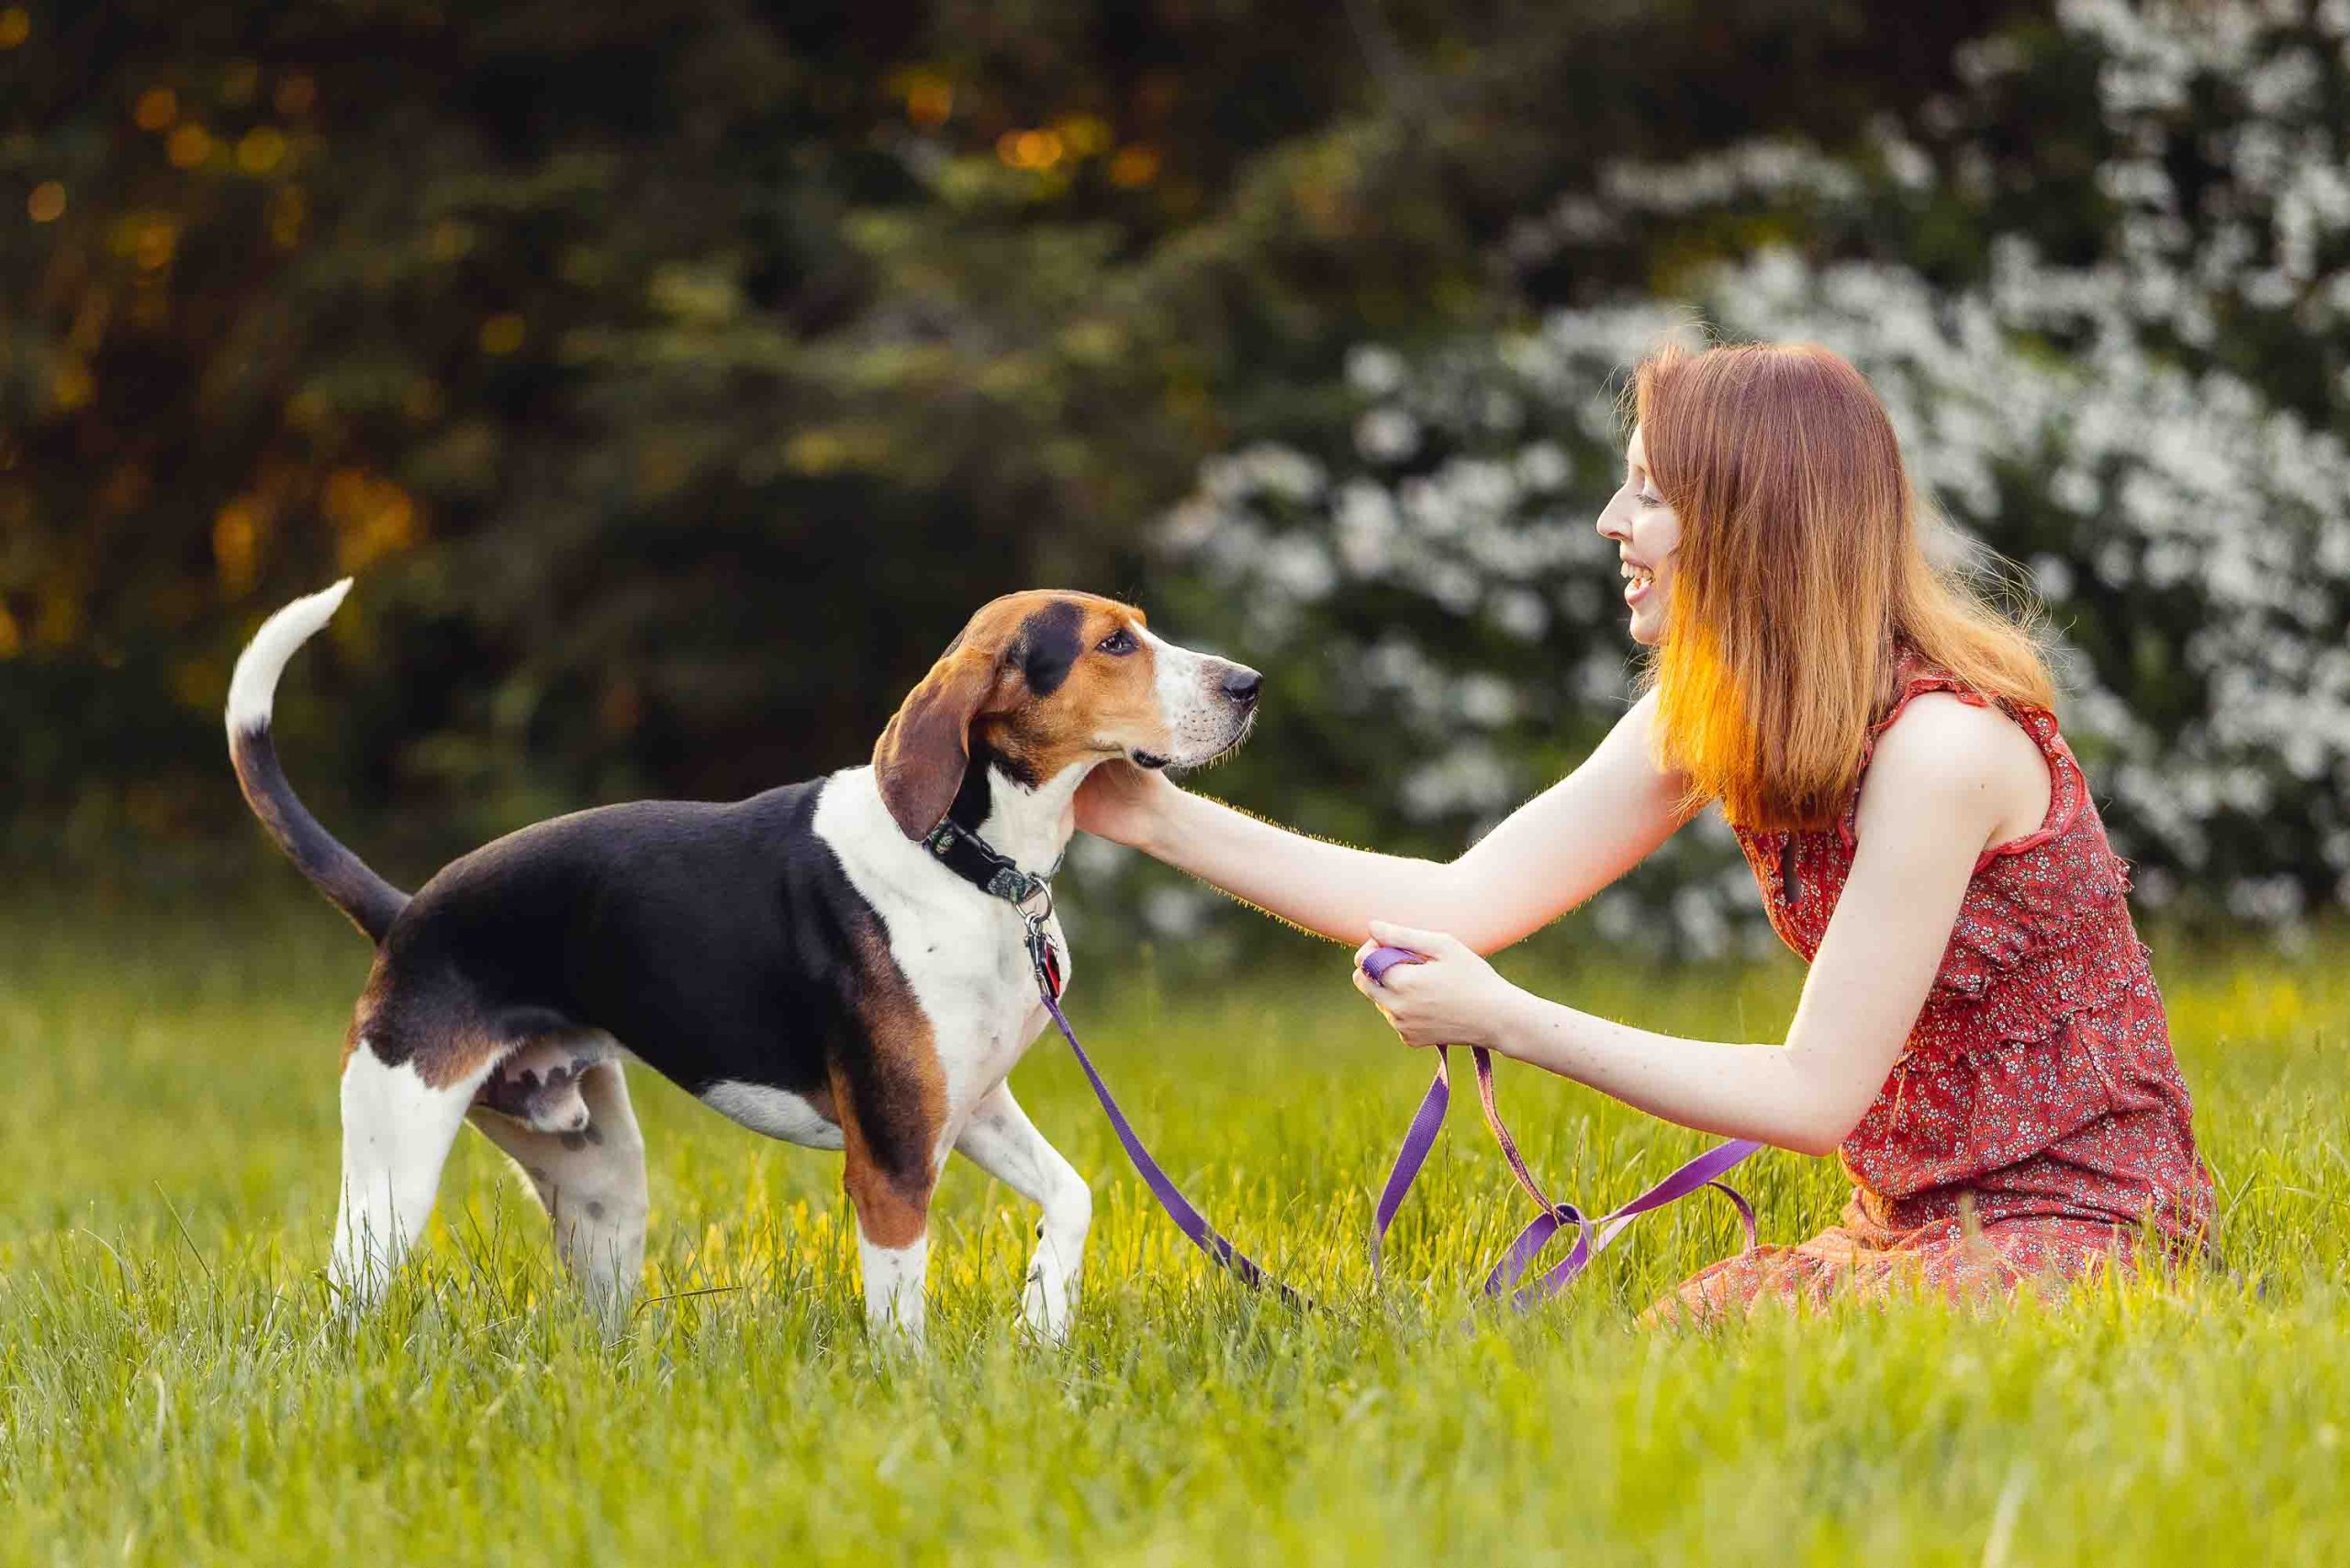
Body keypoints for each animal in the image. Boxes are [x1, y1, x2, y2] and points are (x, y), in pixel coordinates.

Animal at [231, 583, 1269, 1344]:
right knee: (341, 1299)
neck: (971, 862)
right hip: (393, 1176)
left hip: (601, 1181)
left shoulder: (968, 1105)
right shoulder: (891, 1162)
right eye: (1114, 645)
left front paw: (1043, 1315)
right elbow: (901, 1322)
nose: (1249, 684)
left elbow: (1074, 1194)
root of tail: (407, 913)